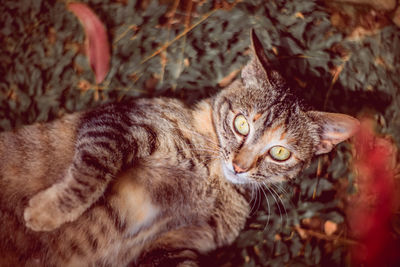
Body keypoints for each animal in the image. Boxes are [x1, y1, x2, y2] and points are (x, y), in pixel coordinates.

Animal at [0, 30, 360, 266]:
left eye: (280, 153)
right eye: (241, 123)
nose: (240, 166)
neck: (214, 179)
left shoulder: (175, 245)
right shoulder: (119, 122)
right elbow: (91, 172)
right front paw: (46, 212)